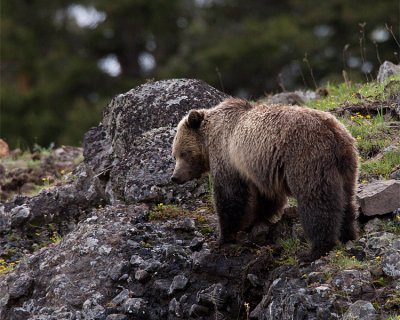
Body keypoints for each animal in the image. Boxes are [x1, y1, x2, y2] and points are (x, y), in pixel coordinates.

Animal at [170, 98, 358, 262]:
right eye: (174, 155)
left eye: (183, 153)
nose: (175, 177)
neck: (210, 139)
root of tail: (333, 132)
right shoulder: (258, 169)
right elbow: (266, 198)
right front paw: (254, 222)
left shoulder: (227, 156)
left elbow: (229, 196)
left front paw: (223, 237)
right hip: (346, 165)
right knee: (346, 200)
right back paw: (347, 234)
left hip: (306, 158)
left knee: (316, 202)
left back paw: (316, 249)